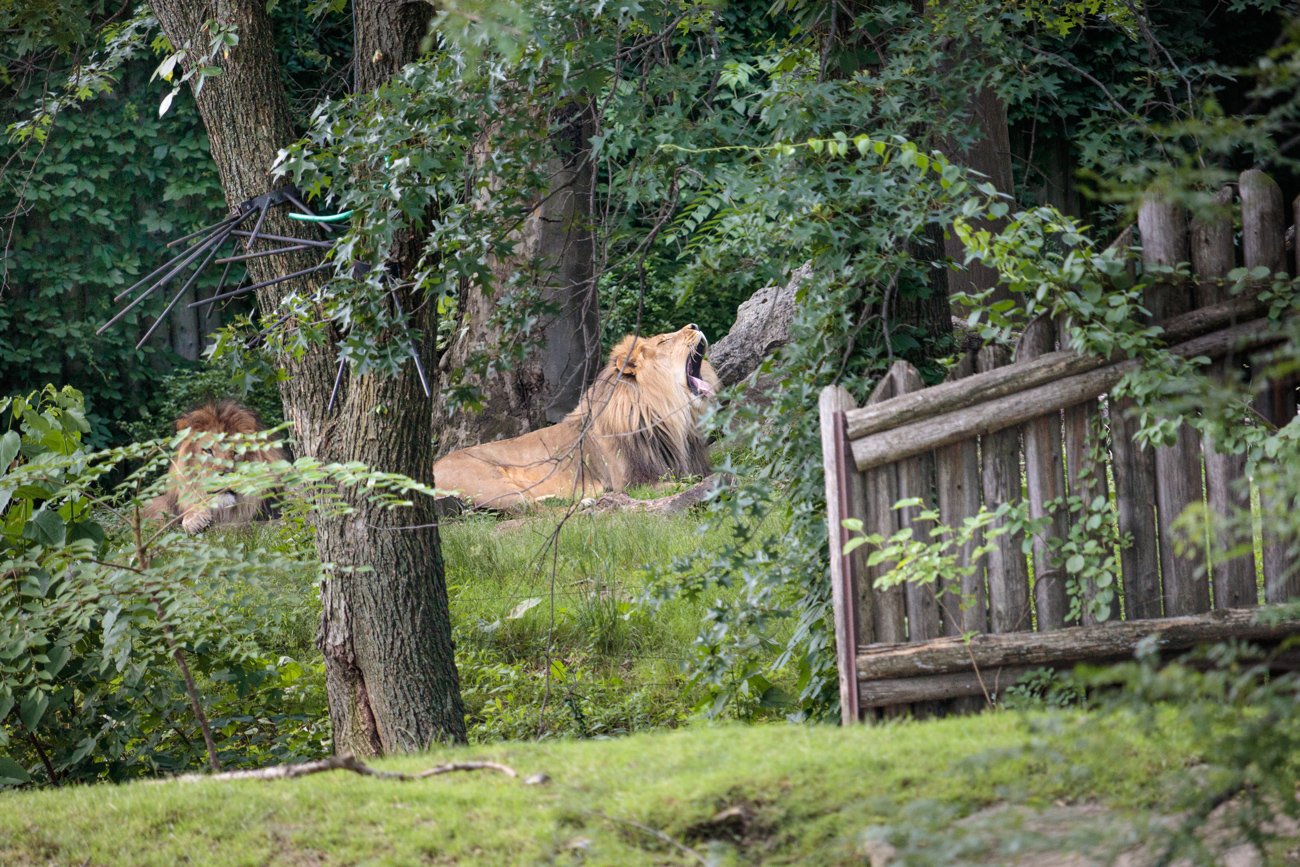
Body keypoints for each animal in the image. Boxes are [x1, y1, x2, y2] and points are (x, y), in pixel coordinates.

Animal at [434, 323, 721, 510]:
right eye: (664, 341)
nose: (695, 324)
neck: (671, 416)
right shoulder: (632, 483)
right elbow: (686, 482)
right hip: (493, 487)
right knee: (529, 510)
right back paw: (583, 502)